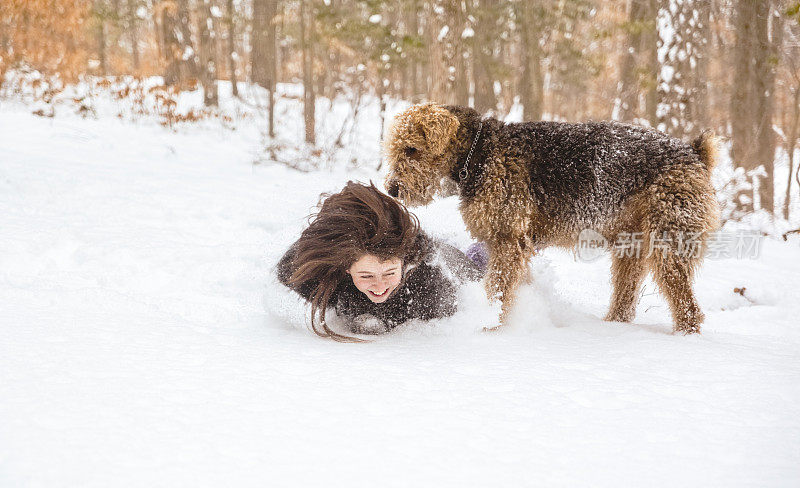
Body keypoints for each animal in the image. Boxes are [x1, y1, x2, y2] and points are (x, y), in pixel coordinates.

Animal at [382, 102, 720, 332]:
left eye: (411, 149)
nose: (392, 188)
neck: (478, 153)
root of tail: (694, 152)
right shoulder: (515, 246)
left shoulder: (507, 241)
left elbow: (498, 289)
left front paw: (488, 324)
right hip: (630, 246)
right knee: (626, 300)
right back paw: (611, 325)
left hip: (668, 244)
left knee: (688, 307)